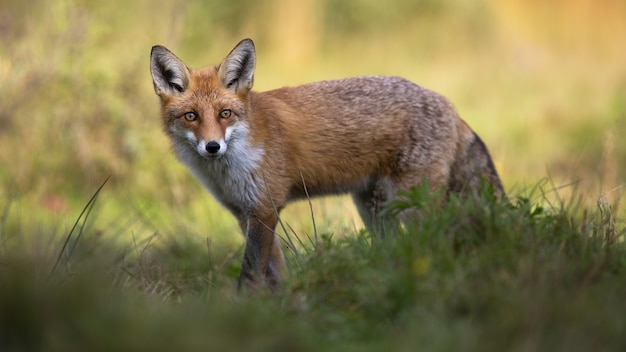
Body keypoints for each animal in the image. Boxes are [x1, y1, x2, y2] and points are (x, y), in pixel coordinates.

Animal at [150, 38, 502, 292]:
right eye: (191, 116)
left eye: (225, 114)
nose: (212, 146)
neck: (230, 168)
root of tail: (449, 105)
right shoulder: (245, 213)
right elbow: (275, 272)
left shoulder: (265, 208)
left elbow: (250, 274)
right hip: (374, 209)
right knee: (394, 246)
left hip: (414, 206)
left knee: (438, 238)